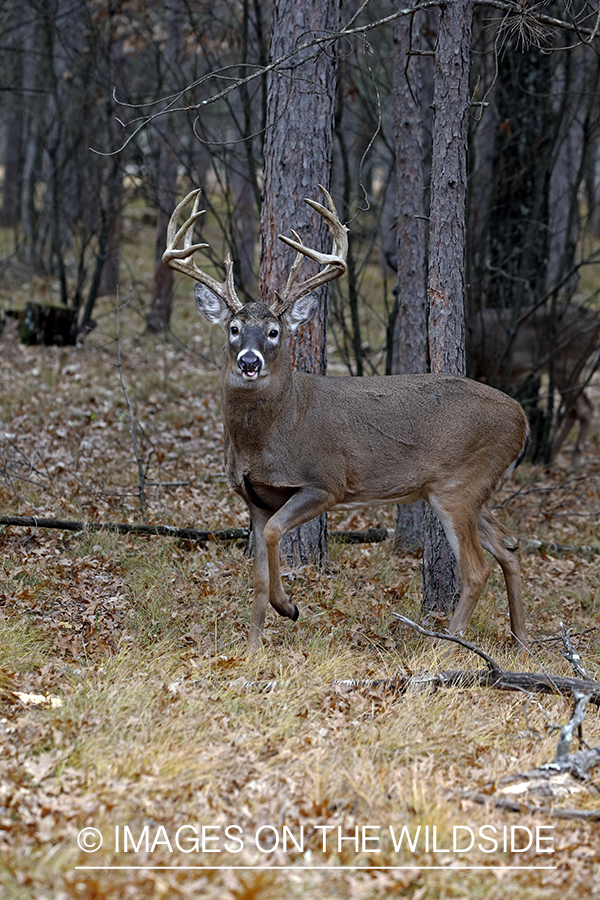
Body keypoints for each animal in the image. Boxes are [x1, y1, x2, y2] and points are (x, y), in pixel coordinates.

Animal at [164, 186, 528, 652]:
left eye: (274, 332)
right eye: (233, 327)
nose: (249, 362)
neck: (266, 436)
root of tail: (522, 419)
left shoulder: (325, 483)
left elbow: (274, 535)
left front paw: (289, 607)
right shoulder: (254, 499)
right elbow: (258, 574)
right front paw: (253, 646)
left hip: (459, 484)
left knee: (477, 567)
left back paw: (446, 644)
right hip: (470, 488)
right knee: (508, 546)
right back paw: (520, 637)